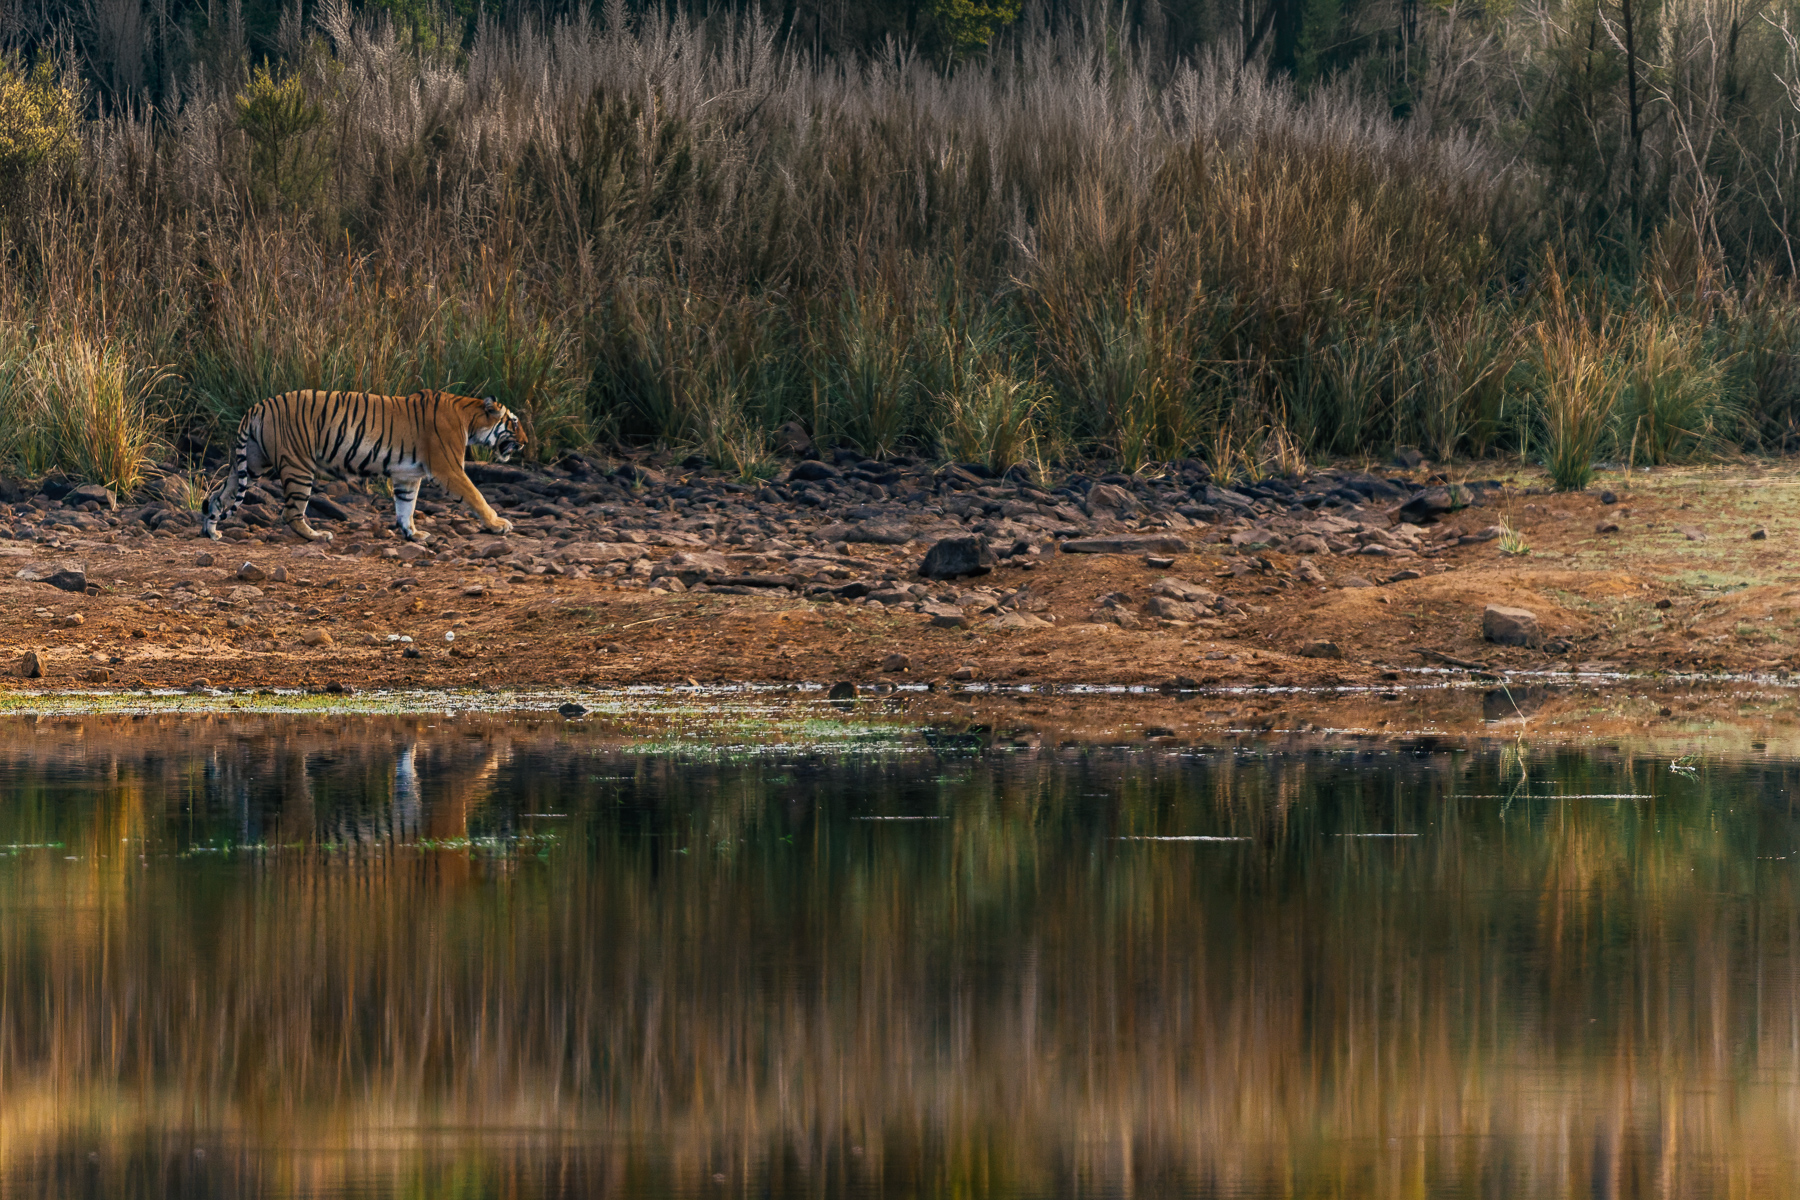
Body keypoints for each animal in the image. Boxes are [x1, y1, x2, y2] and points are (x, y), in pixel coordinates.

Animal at [200, 388, 527, 544]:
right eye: (513, 422)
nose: (524, 443)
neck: (469, 417)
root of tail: (257, 406)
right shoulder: (449, 469)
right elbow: (477, 496)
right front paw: (499, 524)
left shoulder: (407, 476)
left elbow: (406, 507)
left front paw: (413, 534)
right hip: (298, 467)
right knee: (290, 513)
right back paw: (318, 537)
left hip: (252, 463)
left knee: (217, 497)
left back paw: (212, 531)